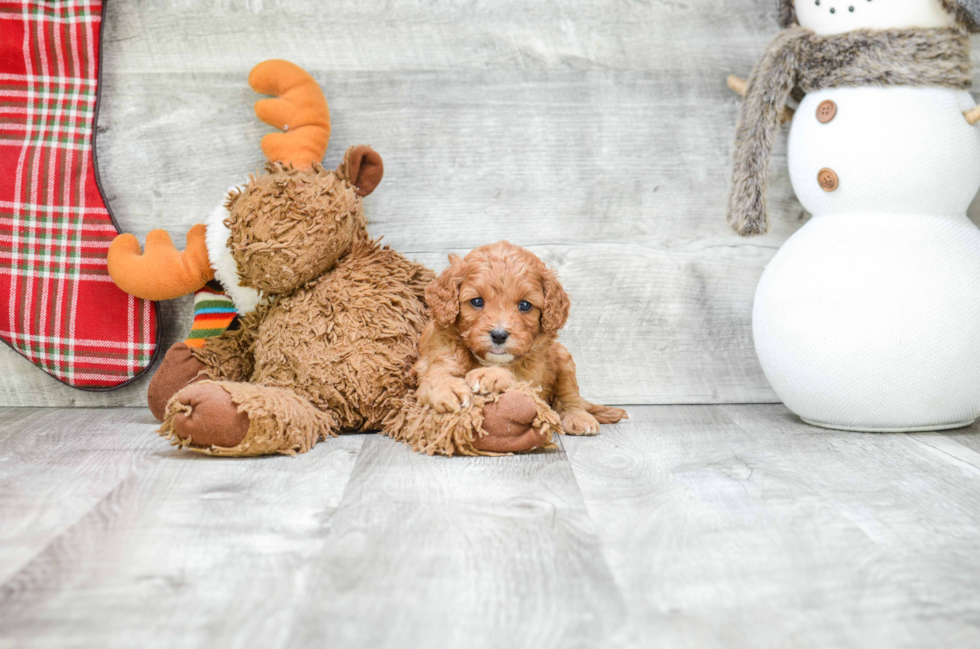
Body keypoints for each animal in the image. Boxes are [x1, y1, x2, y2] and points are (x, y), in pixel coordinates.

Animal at [416, 239, 628, 446]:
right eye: (477, 301)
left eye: (525, 305)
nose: (499, 335)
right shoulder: (440, 352)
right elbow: (436, 374)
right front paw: (448, 388)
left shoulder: (534, 372)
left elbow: (517, 377)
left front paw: (491, 374)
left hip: (564, 359)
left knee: (569, 398)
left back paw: (579, 418)